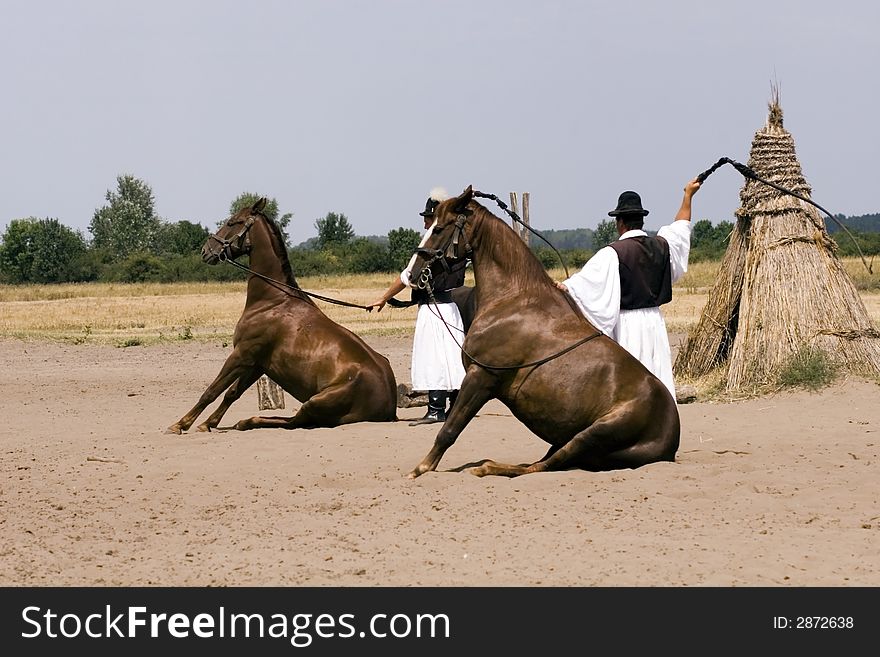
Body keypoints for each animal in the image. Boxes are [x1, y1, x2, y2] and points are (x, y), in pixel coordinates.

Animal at [166, 197, 398, 434]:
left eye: (233, 222)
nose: (206, 250)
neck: (273, 301)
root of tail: (389, 406)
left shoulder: (241, 355)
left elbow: (211, 391)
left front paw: (181, 424)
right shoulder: (257, 363)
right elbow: (232, 393)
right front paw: (208, 423)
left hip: (315, 402)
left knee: (296, 422)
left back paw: (249, 421)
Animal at [406, 184, 680, 476]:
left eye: (438, 228)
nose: (412, 274)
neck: (512, 300)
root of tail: (671, 441)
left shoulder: (480, 377)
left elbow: (449, 430)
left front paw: (421, 468)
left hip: (593, 434)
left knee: (542, 466)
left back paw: (486, 467)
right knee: (539, 463)